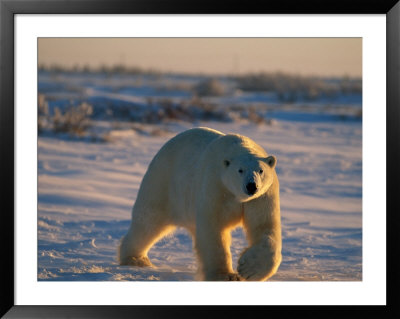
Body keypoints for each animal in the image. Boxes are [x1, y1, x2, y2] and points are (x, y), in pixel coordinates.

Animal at [119, 127, 282, 282]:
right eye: (240, 170)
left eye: (261, 170)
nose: (251, 186)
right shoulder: (216, 186)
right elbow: (213, 228)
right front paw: (225, 276)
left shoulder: (262, 196)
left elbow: (264, 226)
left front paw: (249, 269)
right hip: (162, 182)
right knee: (148, 221)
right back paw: (135, 259)